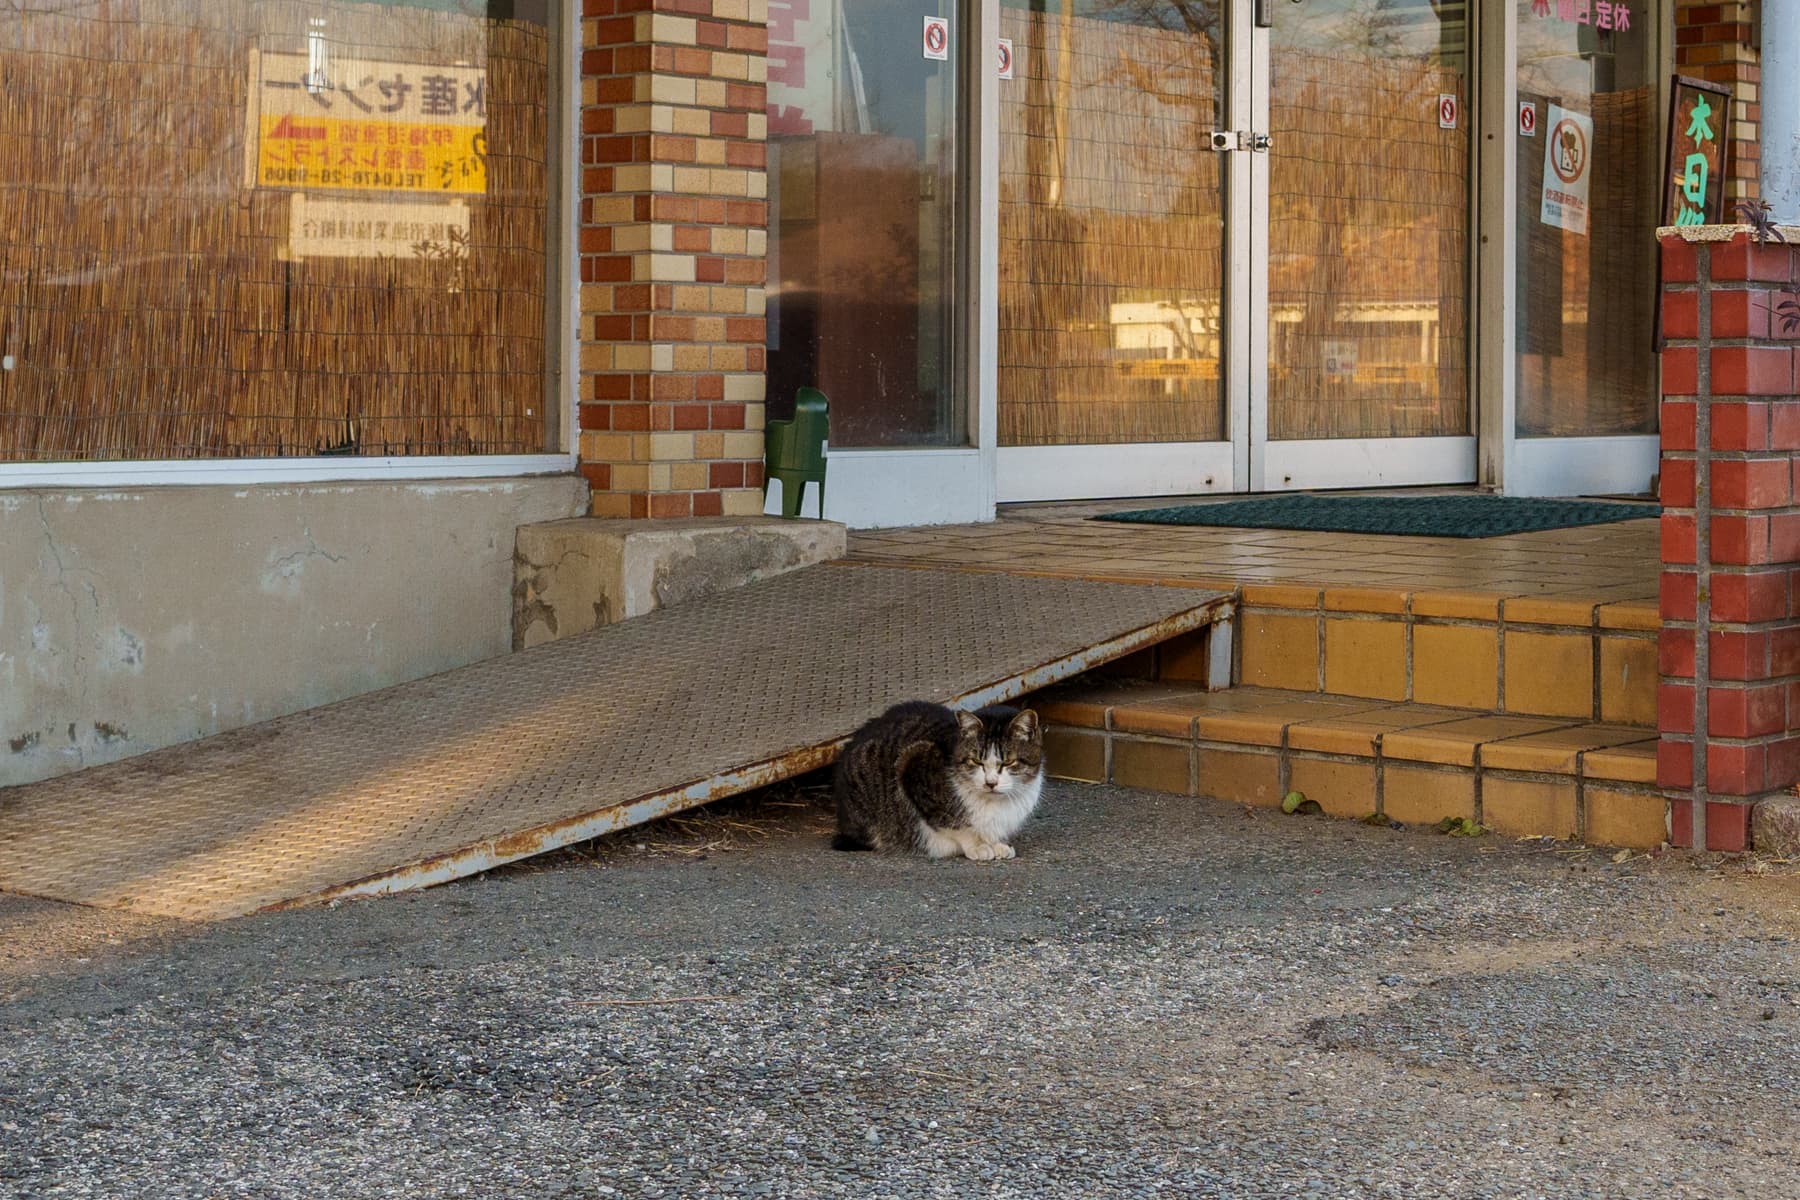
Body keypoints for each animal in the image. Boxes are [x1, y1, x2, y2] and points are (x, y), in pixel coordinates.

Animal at [828, 705, 1044, 863]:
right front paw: (978, 845)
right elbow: (954, 824)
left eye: (1008, 762)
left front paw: (997, 843)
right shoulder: (912, 765)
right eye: (976, 761)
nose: (990, 783)